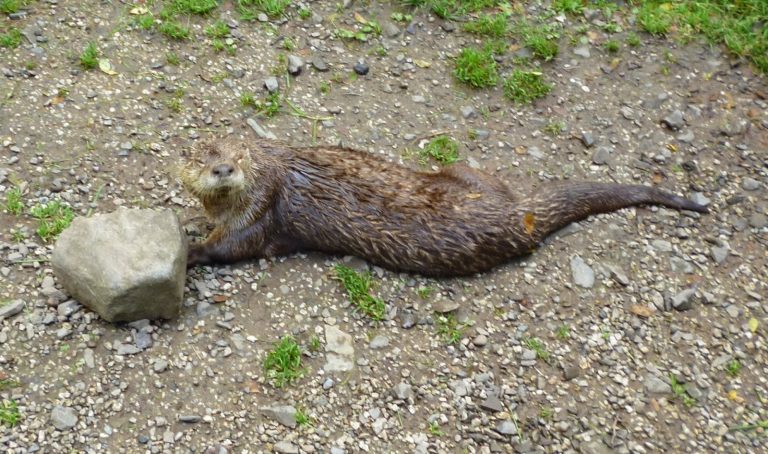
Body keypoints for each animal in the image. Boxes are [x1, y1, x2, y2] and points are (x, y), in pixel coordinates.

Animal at [181, 139, 707, 277]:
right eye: (201, 156)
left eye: (238, 156)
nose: (223, 169)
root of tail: (520, 215)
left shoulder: (259, 214)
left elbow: (232, 247)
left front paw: (191, 251)